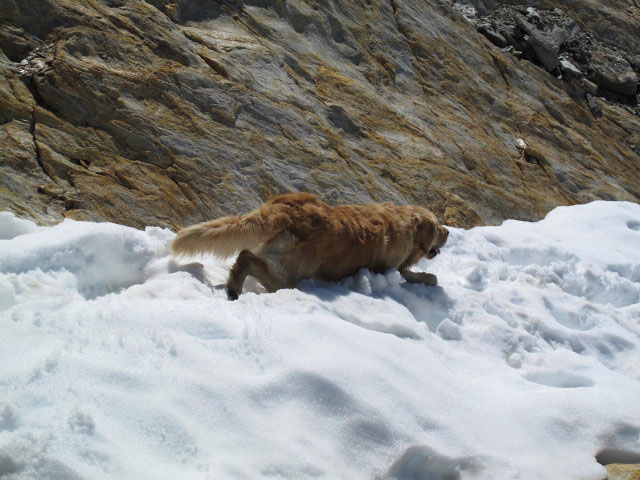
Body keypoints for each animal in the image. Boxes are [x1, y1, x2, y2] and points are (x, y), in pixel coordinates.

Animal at [170, 192, 450, 300]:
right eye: (437, 227)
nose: (448, 233)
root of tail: (287, 208)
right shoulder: (388, 268)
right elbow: (408, 274)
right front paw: (430, 278)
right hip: (288, 275)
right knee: (247, 257)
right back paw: (235, 288)